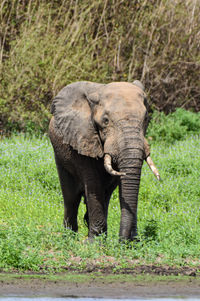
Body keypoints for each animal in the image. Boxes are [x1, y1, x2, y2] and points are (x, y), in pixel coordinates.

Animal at [49, 81, 160, 240]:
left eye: (146, 119)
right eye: (105, 121)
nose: (125, 240)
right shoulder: (84, 136)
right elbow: (94, 184)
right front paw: (94, 243)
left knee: (105, 195)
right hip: (60, 155)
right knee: (71, 197)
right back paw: (69, 237)